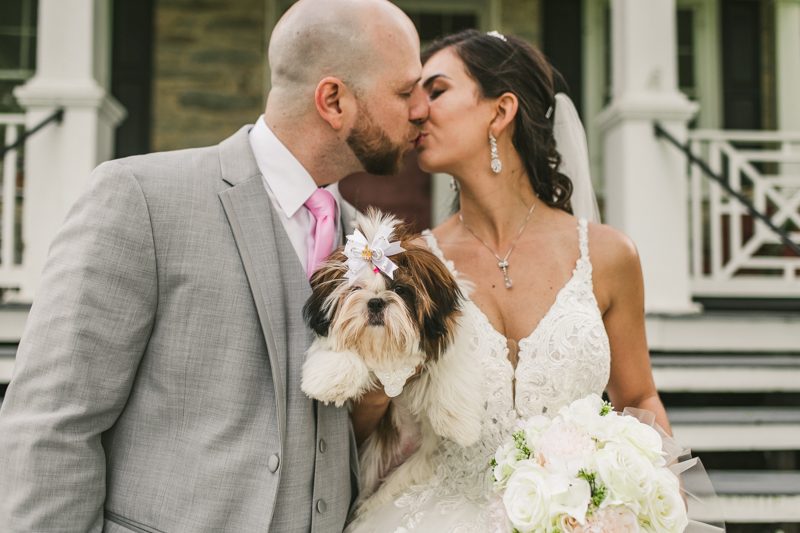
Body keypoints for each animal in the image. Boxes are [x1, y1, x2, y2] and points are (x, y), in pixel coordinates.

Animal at [304, 209, 484, 516]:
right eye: (355, 288)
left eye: (400, 289)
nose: (376, 302)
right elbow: (337, 349)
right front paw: (330, 379)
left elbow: (449, 365)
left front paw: (459, 423)